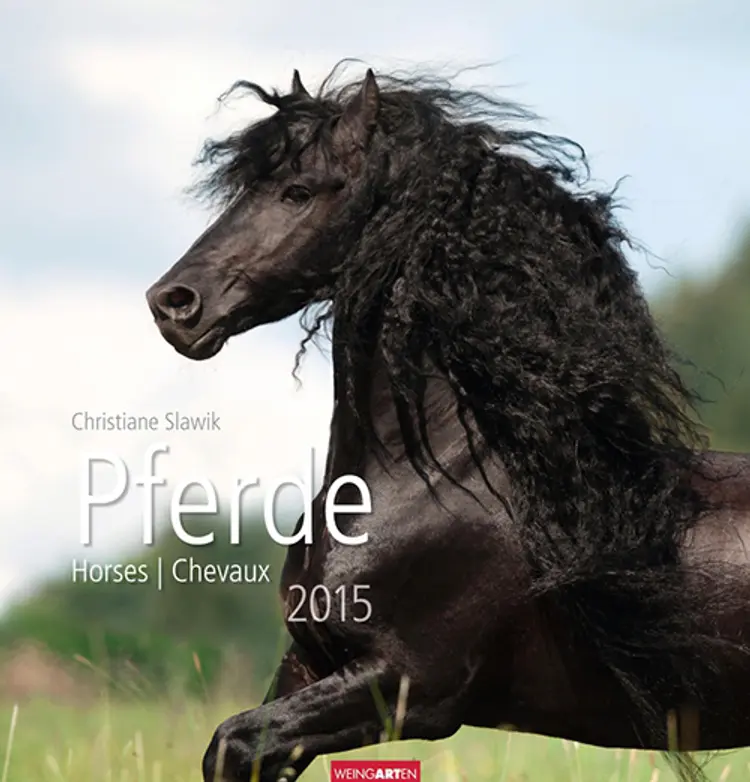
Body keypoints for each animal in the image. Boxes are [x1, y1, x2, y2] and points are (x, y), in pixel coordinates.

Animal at [146, 64, 750, 782]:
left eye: (299, 191)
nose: (173, 304)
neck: (433, 476)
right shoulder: (309, 663)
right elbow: (243, 748)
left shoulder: (410, 686)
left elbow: (232, 741)